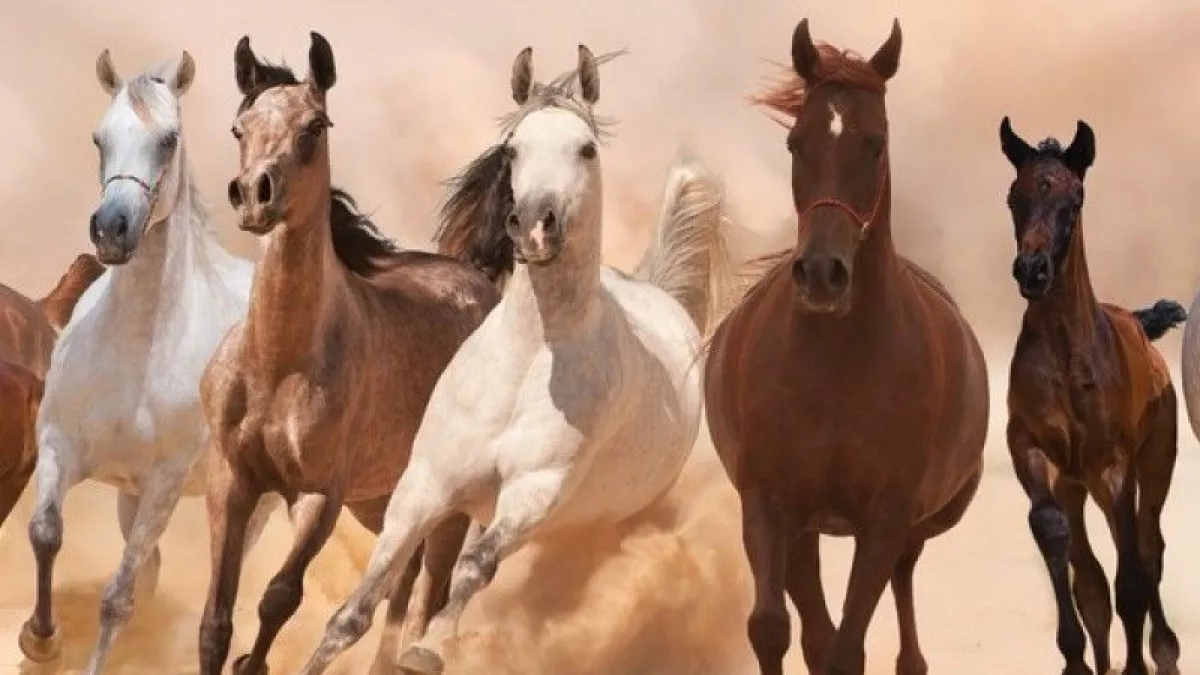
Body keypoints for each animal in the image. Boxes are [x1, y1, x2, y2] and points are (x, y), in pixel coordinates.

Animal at [19, 49, 282, 667]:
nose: (112, 229)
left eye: (169, 139)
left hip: (247, 505)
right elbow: (46, 533)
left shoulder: (164, 483)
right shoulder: (59, 445)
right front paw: (41, 638)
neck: (135, 352)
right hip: (130, 497)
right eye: (99, 138)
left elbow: (117, 599)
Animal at [199, 32, 499, 672]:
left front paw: (254, 663)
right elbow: (216, 620)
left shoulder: (320, 496)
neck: (280, 365)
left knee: (427, 594)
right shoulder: (231, 480)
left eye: (315, 126)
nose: (254, 195)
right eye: (239, 127)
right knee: (402, 579)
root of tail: (482, 281)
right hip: (384, 500)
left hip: (446, 505)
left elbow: (278, 598)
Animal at [294, 43, 734, 672]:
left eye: (586, 147)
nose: (533, 227)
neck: (529, 360)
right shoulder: (426, 484)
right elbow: (355, 610)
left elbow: (475, 571)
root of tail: (660, 292)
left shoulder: (535, 491)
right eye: (513, 149)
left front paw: (426, 651)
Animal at [700, 17, 984, 672]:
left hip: (915, 526)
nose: (822, 274)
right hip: (806, 528)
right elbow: (775, 629)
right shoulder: (770, 502)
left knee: (902, 582)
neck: (836, 367)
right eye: (795, 143)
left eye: (875, 143)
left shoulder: (885, 516)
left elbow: (846, 646)